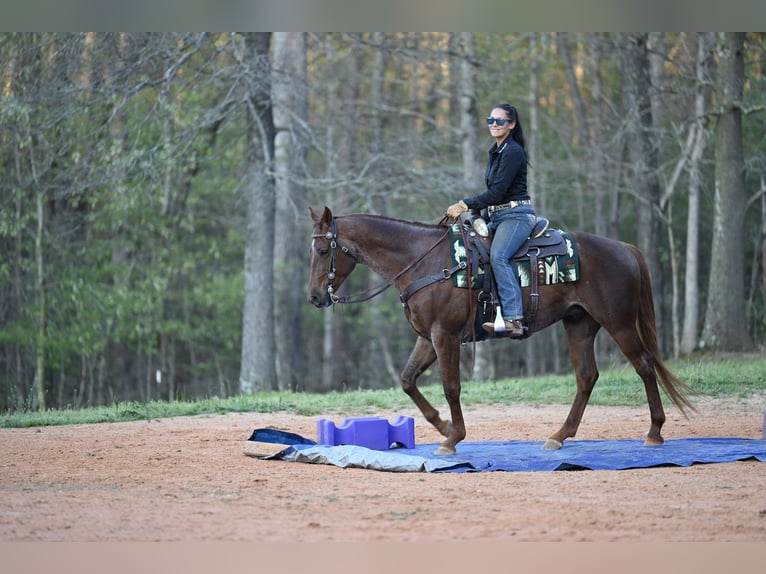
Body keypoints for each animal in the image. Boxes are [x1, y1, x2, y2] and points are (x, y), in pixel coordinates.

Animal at [306, 206, 696, 455]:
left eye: (324, 250)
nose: (314, 297)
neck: (425, 261)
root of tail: (625, 249)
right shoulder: (427, 337)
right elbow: (407, 380)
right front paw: (442, 427)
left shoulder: (445, 336)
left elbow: (451, 387)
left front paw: (452, 439)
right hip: (580, 325)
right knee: (587, 377)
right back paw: (559, 436)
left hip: (620, 323)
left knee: (644, 365)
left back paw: (654, 432)